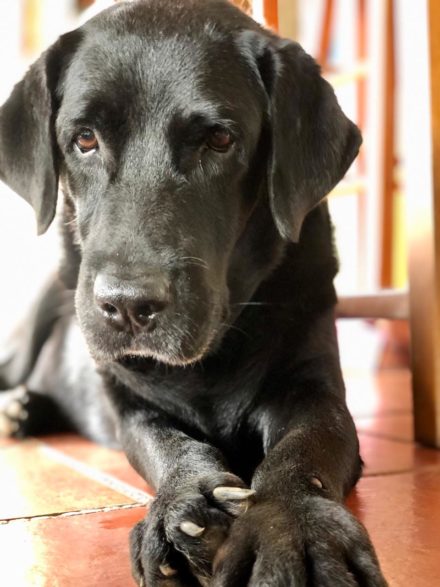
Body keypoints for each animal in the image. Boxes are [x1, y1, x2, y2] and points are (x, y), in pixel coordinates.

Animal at [0, 0, 386, 584]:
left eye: (220, 140)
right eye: (84, 139)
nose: (128, 305)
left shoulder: (312, 386)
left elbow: (303, 449)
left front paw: (294, 528)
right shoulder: (130, 402)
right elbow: (166, 444)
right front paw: (184, 505)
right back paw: (19, 407)